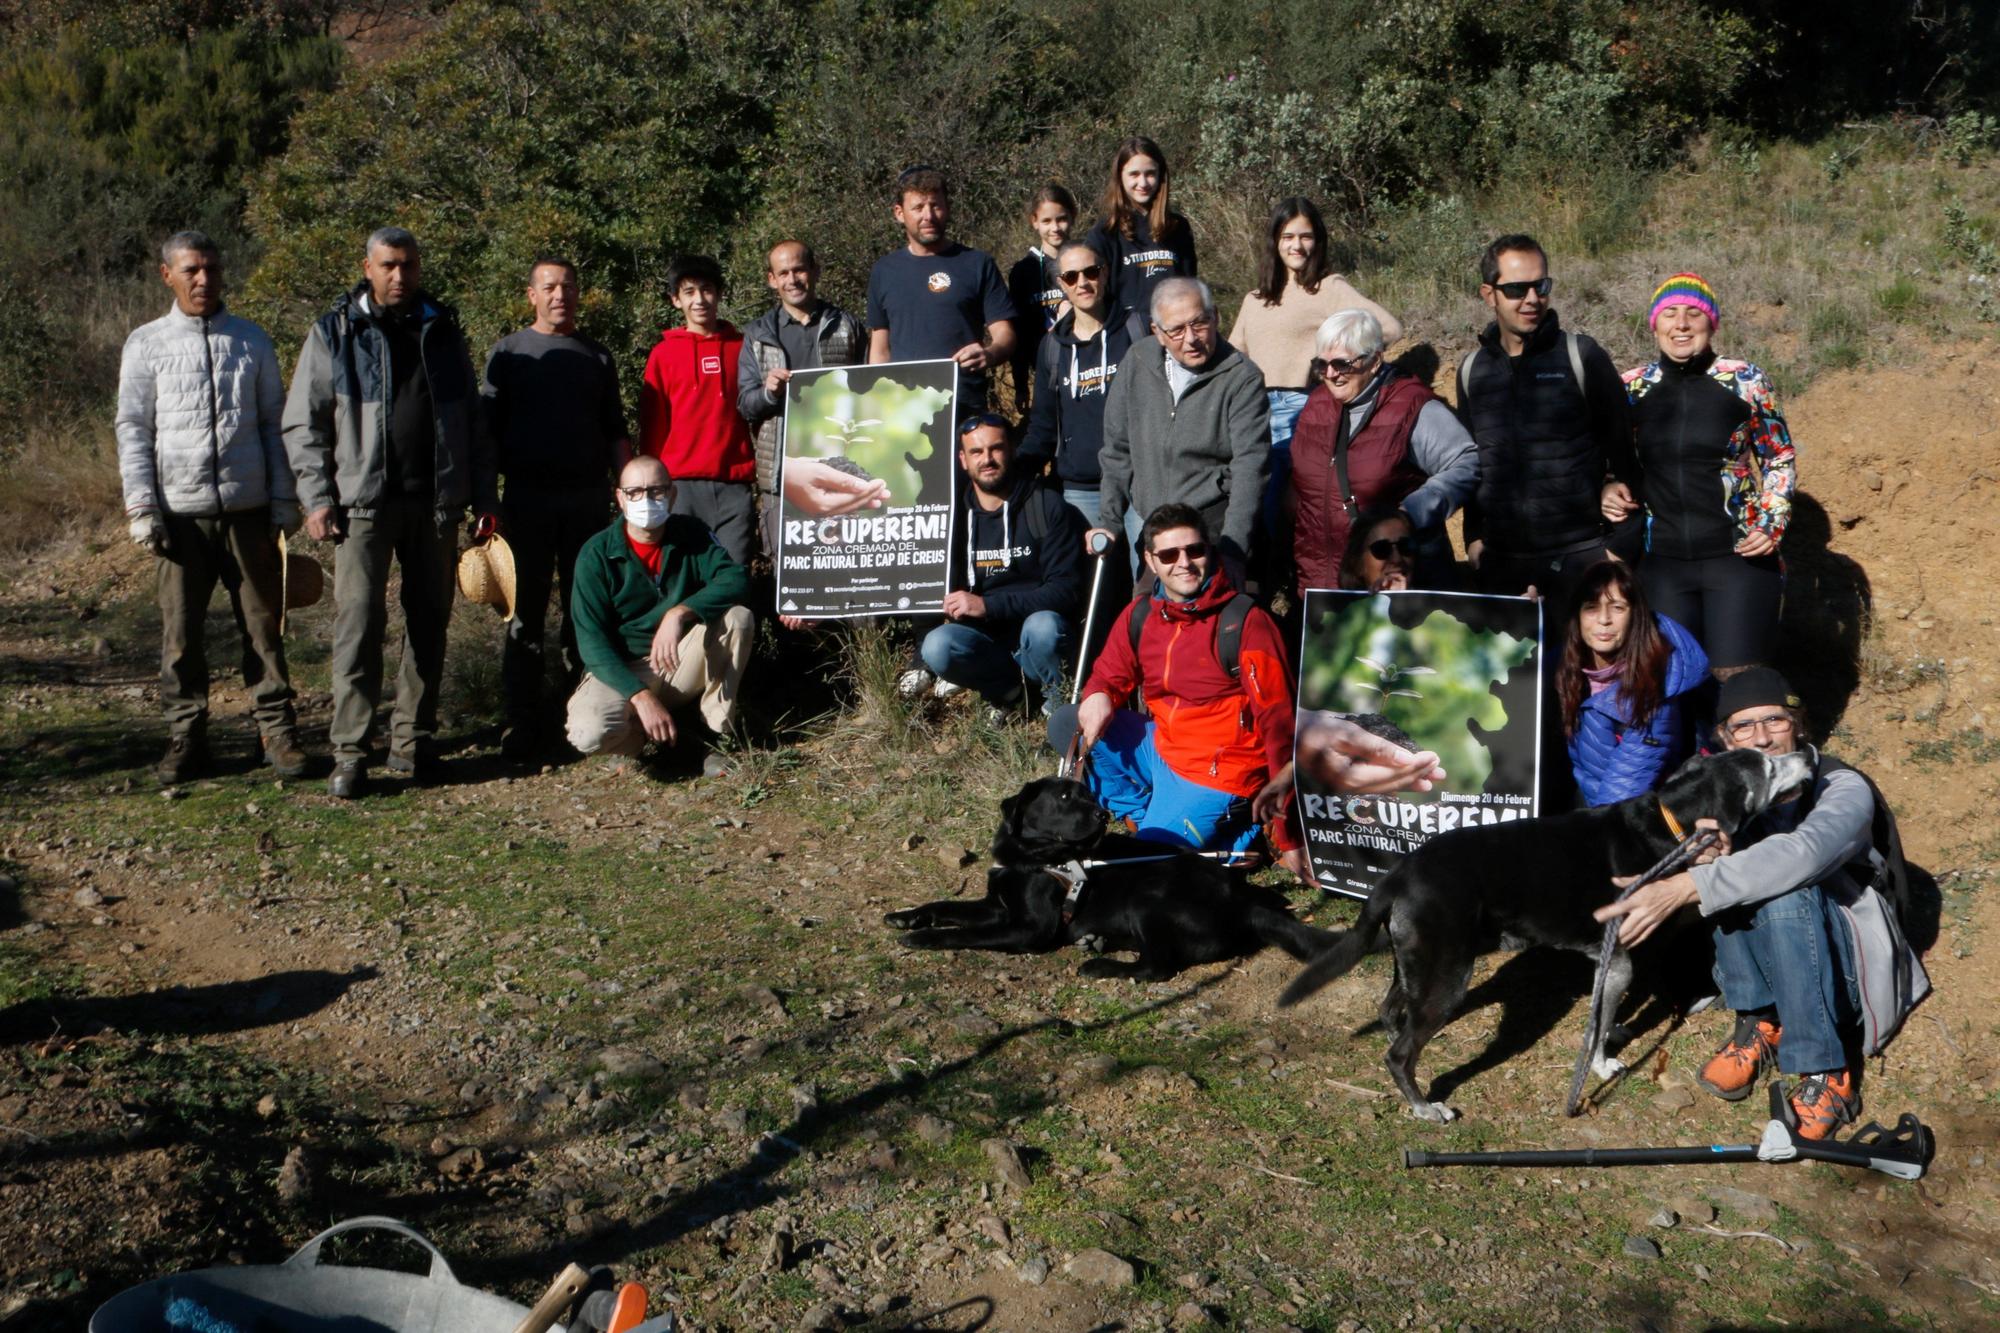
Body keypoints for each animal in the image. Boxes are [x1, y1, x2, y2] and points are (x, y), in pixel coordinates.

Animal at [888, 768, 1328, 976]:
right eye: (1066, 796)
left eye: (1091, 797)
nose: (1104, 815)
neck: (1032, 856)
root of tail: (1244, 902)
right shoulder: (996, 905)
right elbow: (947, 905)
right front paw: (906, 916)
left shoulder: (1029, 929)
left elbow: (967, 932)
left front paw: (925, 937)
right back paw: (1096, 942)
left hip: (1149, 898)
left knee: (1157, 967)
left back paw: (1101, 965)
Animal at [1280, 752, 1816, 1112]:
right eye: (1769, 767)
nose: (1808, 751)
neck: (1672, 824)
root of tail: (1397, 875)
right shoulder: (1618, 963)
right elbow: (1598, 1029)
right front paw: (1603, 1064)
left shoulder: (1608, 965)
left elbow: (1607, 1016)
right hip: (1447, 977)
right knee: (1399, 1053)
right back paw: (1424, 1106)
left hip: (1413, 963)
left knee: (1391, 1010)